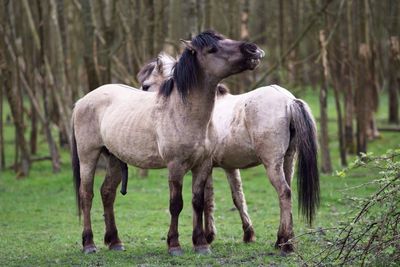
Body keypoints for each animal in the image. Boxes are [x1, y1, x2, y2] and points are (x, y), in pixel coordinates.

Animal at [71, 30, 266, 256]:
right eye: (212, 49)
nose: (253, 49)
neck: (183, 112)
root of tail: (82, 101)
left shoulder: (203, 165)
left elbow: (198, 202)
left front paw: (201, 244)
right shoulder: (175, 166)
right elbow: (176, 204)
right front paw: (174, 244)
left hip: (114, 158)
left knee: (107, 193)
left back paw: (115, 242)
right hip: (88, 157)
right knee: (86, 195)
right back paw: (89, 244)